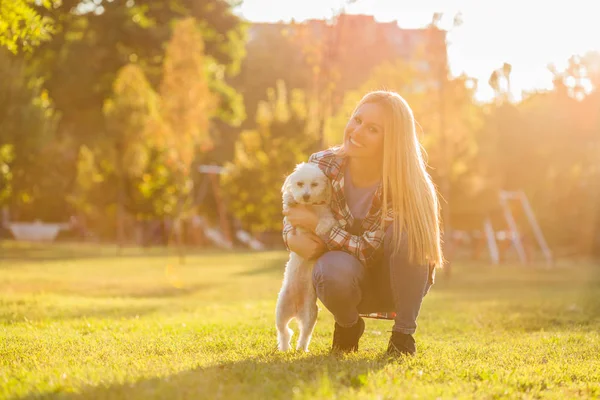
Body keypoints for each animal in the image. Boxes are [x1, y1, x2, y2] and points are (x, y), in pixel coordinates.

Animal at [276, 161, 338, 352]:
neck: (310, 206)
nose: (305, 196)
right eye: (300, 184)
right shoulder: (292, 222)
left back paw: (301, 348)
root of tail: (295, 309)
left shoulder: (328, 215)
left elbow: (327, 221)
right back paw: (285, 347)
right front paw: (290, 198)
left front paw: (320, 227)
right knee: (284, 331)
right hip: (280, 310)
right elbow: (289, 205)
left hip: (310, 314)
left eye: (314, 184)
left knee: (304, 334)